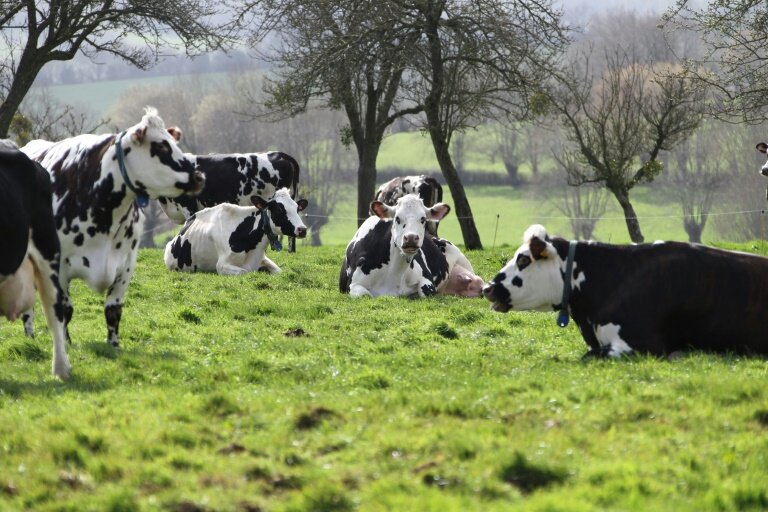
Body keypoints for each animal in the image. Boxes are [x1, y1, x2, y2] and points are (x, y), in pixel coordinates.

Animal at [21, 107, 205, 348]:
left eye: (174, 143)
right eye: (161, 147)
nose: (199, 176)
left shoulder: (125, 264)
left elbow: (113, 310)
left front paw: (114, 345)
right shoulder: (58, 266)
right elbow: (65, 310)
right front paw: (66, 344)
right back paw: (30, 335)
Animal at [164, 188, 308, 275]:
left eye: (297, 209)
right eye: (279, 209)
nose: (302, 229)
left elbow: (279, 271)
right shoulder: (222, 265)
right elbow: (246, 272)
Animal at [340, 195, 483, 298]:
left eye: (423, 219)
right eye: (397, 218)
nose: (411, 238)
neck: (393, 274)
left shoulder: (428, 282)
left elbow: (424, 291)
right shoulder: (353, 284)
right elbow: (364, 294)